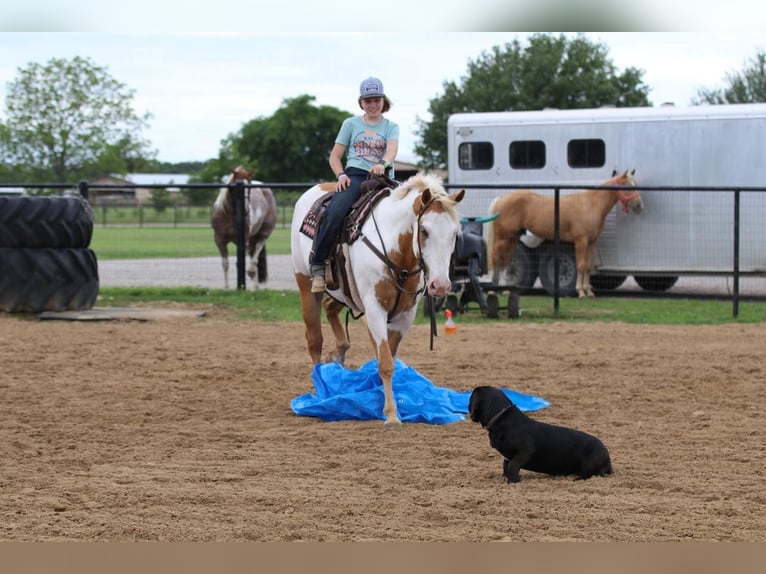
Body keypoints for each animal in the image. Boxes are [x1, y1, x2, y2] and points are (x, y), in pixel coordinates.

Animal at [292, 173, 464, 426]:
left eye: (454, 234)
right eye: (424, 231)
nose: (440, 285)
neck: (397, 254)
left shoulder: (405, 315)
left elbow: (388, 357)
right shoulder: (374, 308)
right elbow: (385, 362)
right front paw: (391, 415)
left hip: (344, 293)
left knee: (330, 308)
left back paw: (338, 354)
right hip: (306, 286)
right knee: (314, 340)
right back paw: (322, 392)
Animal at [468, 388, 612, 486]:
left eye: (470, 398)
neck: (501, 418)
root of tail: (607, 456)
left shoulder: (524, 451)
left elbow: (513, 466)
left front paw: (514, 482)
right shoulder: (507, 456)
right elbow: (506, 466)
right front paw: (506, 478)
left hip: (589, 464)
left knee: (590, 475)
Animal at [488, 169, 644, 300]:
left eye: (635, 184)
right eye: (627, 186)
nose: (639, 206)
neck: (590, 203)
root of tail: (500, 199)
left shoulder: (592, 242)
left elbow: (587, 266)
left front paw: (589, 292)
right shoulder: (581, 241)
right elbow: (581, 265)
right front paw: (580, 292)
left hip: (512, 238)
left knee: (504, 262)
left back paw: (505, 290)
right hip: (503, 238)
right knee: (496, 259)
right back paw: (493, 290)